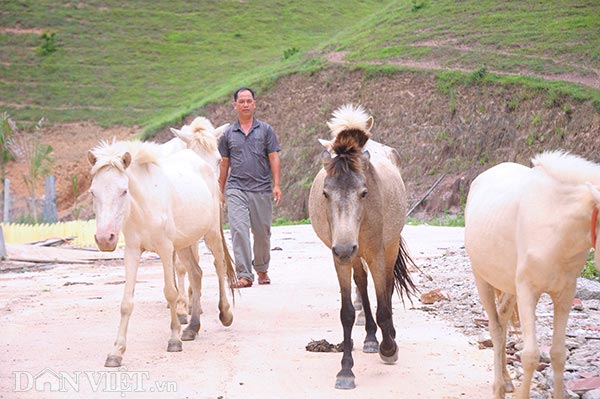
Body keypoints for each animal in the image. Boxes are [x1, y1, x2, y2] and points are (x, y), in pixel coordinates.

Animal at [88, 139, 236, 368]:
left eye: (123, 191)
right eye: (93, 192)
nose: (105, 239)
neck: (145, 205)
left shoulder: (166, 249)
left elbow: (171, 292)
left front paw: (174, 339)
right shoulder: (132, 251)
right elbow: (126, 303)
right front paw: (116, 352)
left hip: (211, 234)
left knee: (219, 267)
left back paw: (225, 314)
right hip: (184, 243)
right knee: (196, 274)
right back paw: (192, 327)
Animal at [308, 104, 414, 390]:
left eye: (363, 192)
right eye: (326, 193)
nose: (345, 247)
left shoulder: (377, 252)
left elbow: (383, 303)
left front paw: (389, 348)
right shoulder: (340, 259)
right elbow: (347, 312)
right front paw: (346, 370)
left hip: (387, 247)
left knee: (386, 286)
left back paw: (388, 337)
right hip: (355, 257)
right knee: (362, 283)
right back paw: (370, 337)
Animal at [464, 151, 600, 399]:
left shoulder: (566, 293)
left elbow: (558, 354)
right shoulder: (528, 291)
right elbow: (530, 356)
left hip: (509, 285)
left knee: (503, 319)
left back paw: (507, 380)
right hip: (482, 278)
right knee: (495, 328)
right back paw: (498, 386)